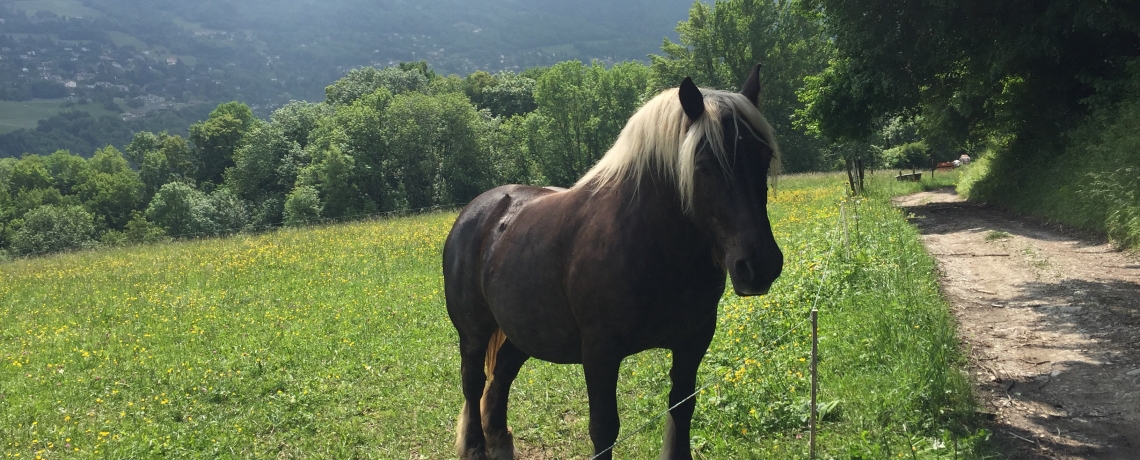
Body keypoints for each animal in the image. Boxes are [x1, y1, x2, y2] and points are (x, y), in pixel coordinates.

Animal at [444, 65, 784, 459]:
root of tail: (478, 210)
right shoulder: (600, 353)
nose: (760, 265)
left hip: (523, 327)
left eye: (763, 156)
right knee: (473, 382)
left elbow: (682, 409)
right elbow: (605, 429)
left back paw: (499, 440)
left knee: (502, 373)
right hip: (474, 330)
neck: (652, 245)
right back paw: (476, 446)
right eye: (703, 165)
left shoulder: (694, 340)